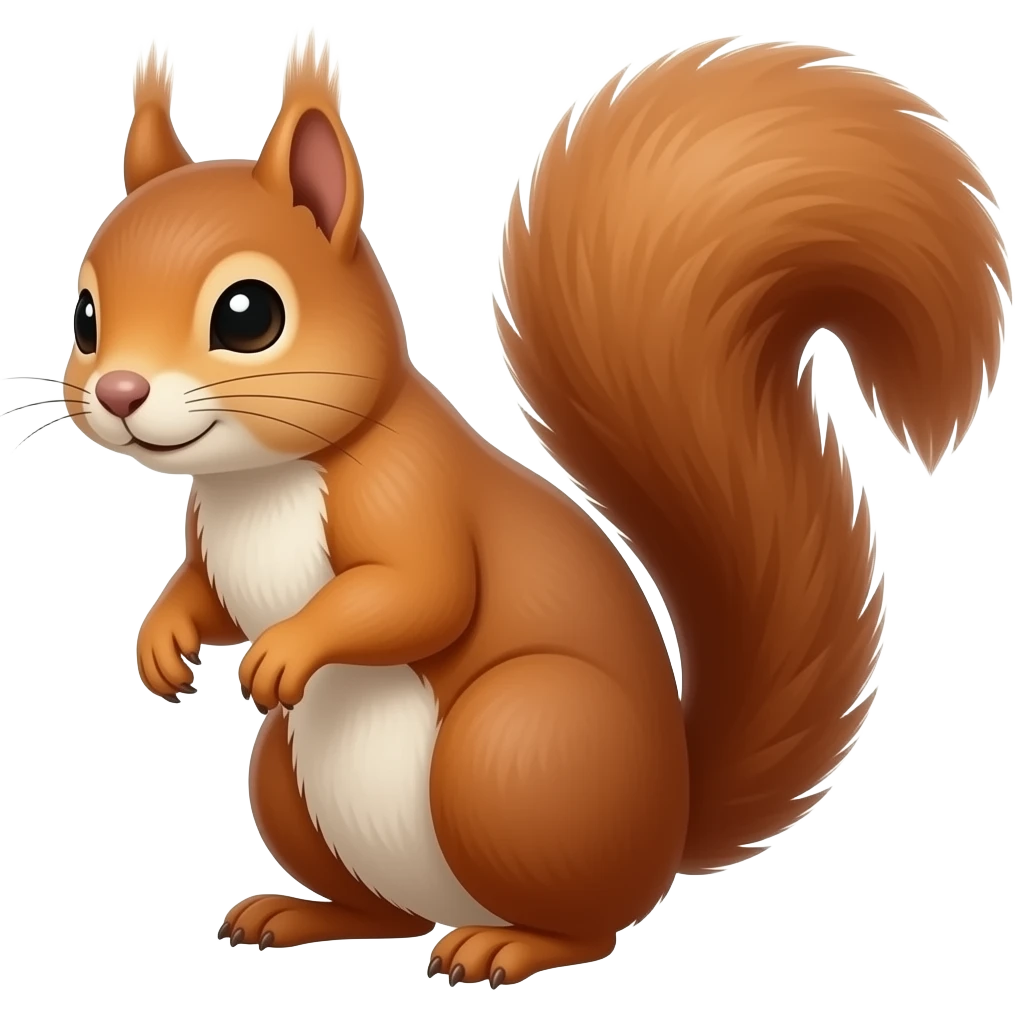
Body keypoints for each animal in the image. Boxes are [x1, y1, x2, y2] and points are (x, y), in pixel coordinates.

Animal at [64, 30, 1007, 986]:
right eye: (85, 316)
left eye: (248, 314)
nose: (119, 391)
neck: (261, 479)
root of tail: (667, 831)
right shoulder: (212, 539)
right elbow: (206, 593)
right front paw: (161, 641)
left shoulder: (410, 493)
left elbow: (423, 593)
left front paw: (286, 648)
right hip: (291, 781)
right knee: (388, 913)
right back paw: (300, 914)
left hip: (515, 747)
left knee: (588, 925)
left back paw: (507, 945)